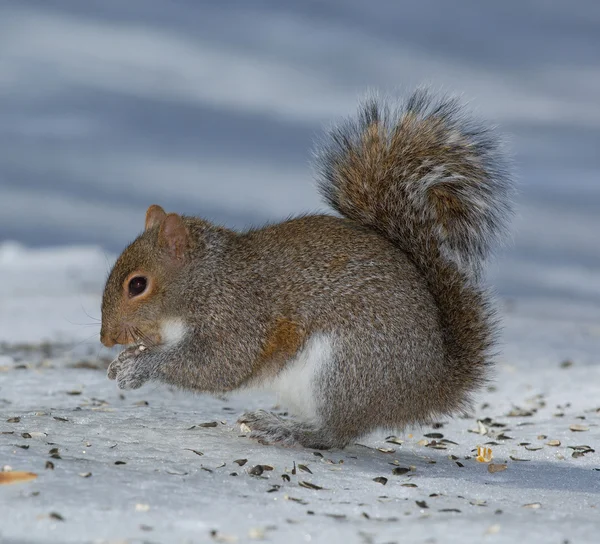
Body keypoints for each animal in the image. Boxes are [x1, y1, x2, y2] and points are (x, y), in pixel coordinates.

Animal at [101, 87, 512, 448]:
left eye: (137, 285)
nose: (106, 339)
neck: (205, 278)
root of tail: (426, 387)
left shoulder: (237, 315)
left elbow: (222, 364)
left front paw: (140, 367)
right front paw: (123, 362)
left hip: (343, 368)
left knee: (335, 435)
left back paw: (286, 431)